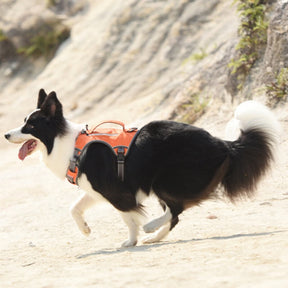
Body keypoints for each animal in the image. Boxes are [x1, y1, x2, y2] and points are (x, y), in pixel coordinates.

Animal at [3, 89, 280, 246]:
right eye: (23, 122)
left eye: (30, 126)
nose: (6, 134)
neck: (69, 144)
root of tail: (222, 143)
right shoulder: (96, 189)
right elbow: (75, 208)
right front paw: (86, 229)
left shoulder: (116, 191)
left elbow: (128, 217)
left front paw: (131, 239)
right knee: (176, 214)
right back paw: (154, 237)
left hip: (164, 178)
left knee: (177, 209)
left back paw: (151, 228)